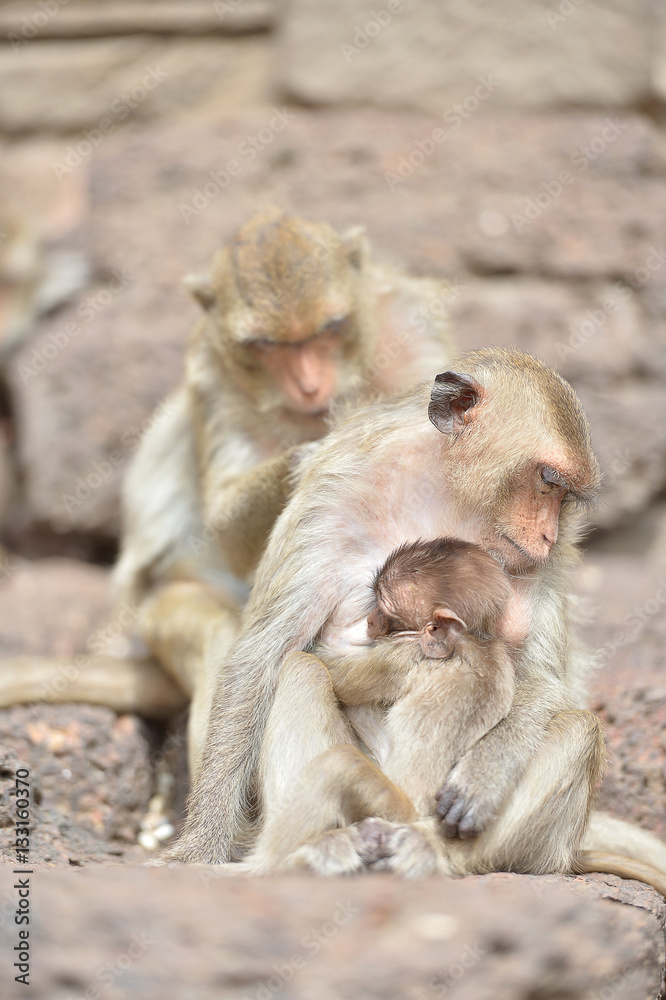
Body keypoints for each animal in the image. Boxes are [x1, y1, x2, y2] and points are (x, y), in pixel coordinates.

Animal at [167, 347, 666, 897]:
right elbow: (264, 655)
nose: (548, 536)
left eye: (564, 498)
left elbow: (545, 680)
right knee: (299, 671)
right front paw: (201, 846)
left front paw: (486, 773)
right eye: (547, 481)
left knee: (578, 727)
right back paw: (314, 848)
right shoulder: (332, 490)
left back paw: (433, 853)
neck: (447, 490)